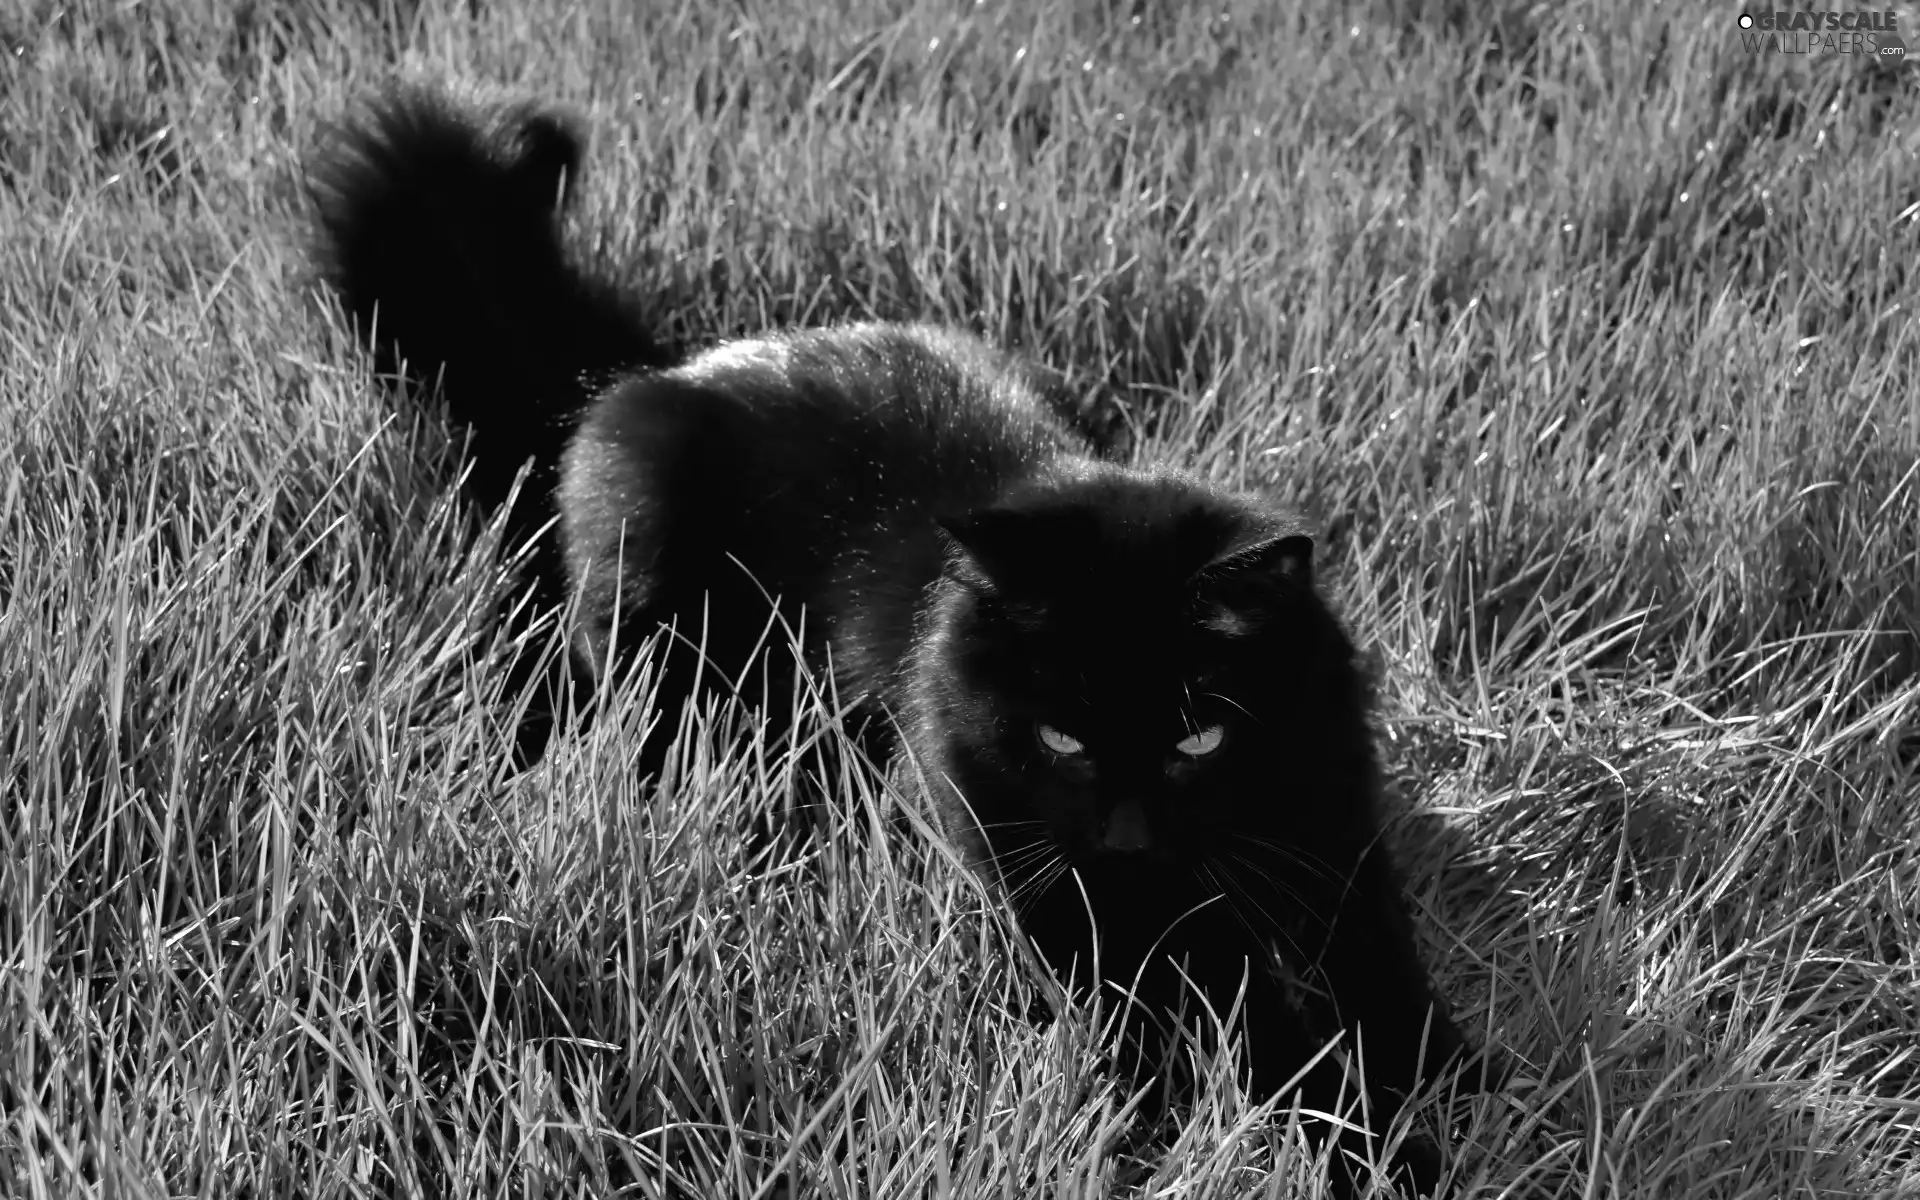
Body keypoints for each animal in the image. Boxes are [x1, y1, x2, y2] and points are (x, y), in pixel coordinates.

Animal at [311, 79, 1482, 1190]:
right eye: (1062, 739)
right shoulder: (1062, 901)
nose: (1127, 838)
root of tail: (654, 374)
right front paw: (1369, 1145)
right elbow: (1251, 1033)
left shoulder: (1335, 835)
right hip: (644, 577)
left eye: (1201, 739)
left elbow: (1383, 981)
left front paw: (1439, 1096)